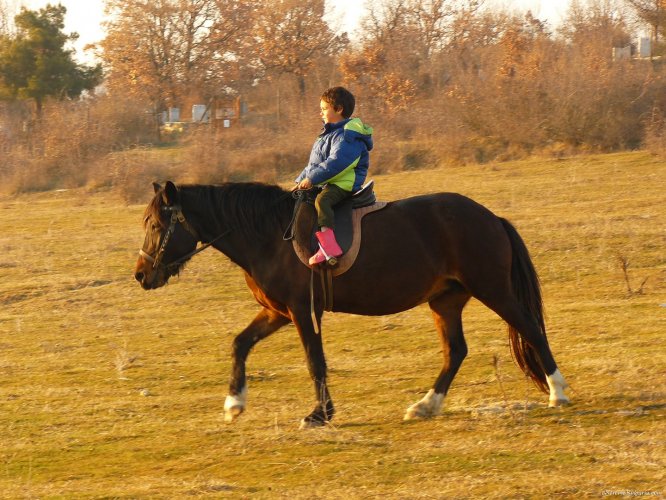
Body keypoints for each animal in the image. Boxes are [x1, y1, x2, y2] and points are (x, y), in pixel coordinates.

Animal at [134, 181, 570, 428]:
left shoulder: (301, 311)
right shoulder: (276, 311)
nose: (140, 275)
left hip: (493, 289)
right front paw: (234, 403)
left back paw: (557, 392)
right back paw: (426, 406)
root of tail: (491, 217)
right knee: (456, 351)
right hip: (446, 300)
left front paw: (320, 414)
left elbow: (315, 361)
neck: (270, 235)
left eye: (156, 225)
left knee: (531, 331)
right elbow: (240, 344)